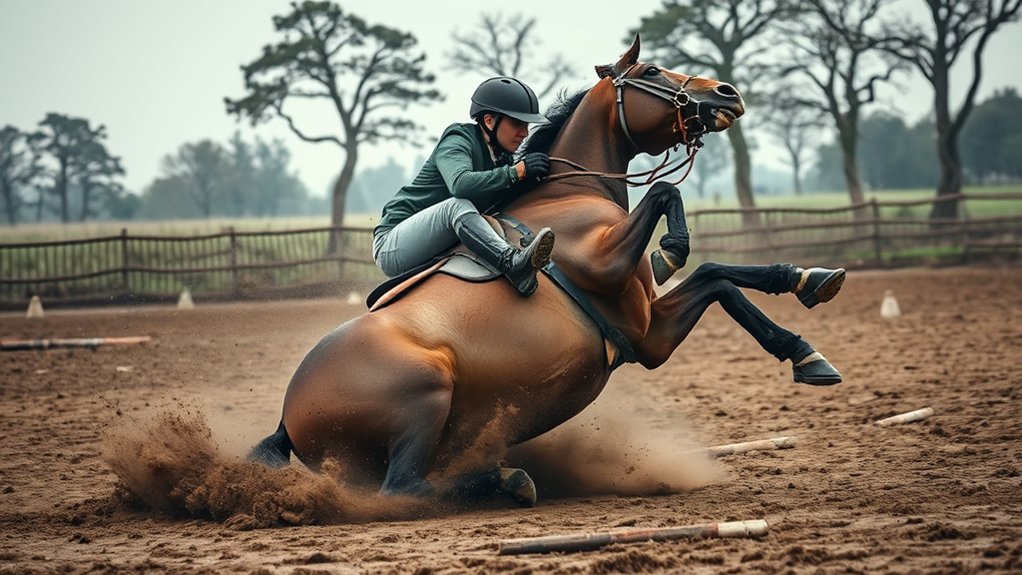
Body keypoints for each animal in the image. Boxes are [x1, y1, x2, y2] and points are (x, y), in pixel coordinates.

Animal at [249, 36, 844, 506]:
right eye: (652, 71)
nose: (727, 93)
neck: (571, 189)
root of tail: (287, 417)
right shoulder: (628, 301)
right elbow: (668, 200)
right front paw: (672, 249)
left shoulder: (648, 328)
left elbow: (721, 277)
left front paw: (808, 306)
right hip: (426, 392)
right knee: (403, 489)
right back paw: (507, 480)